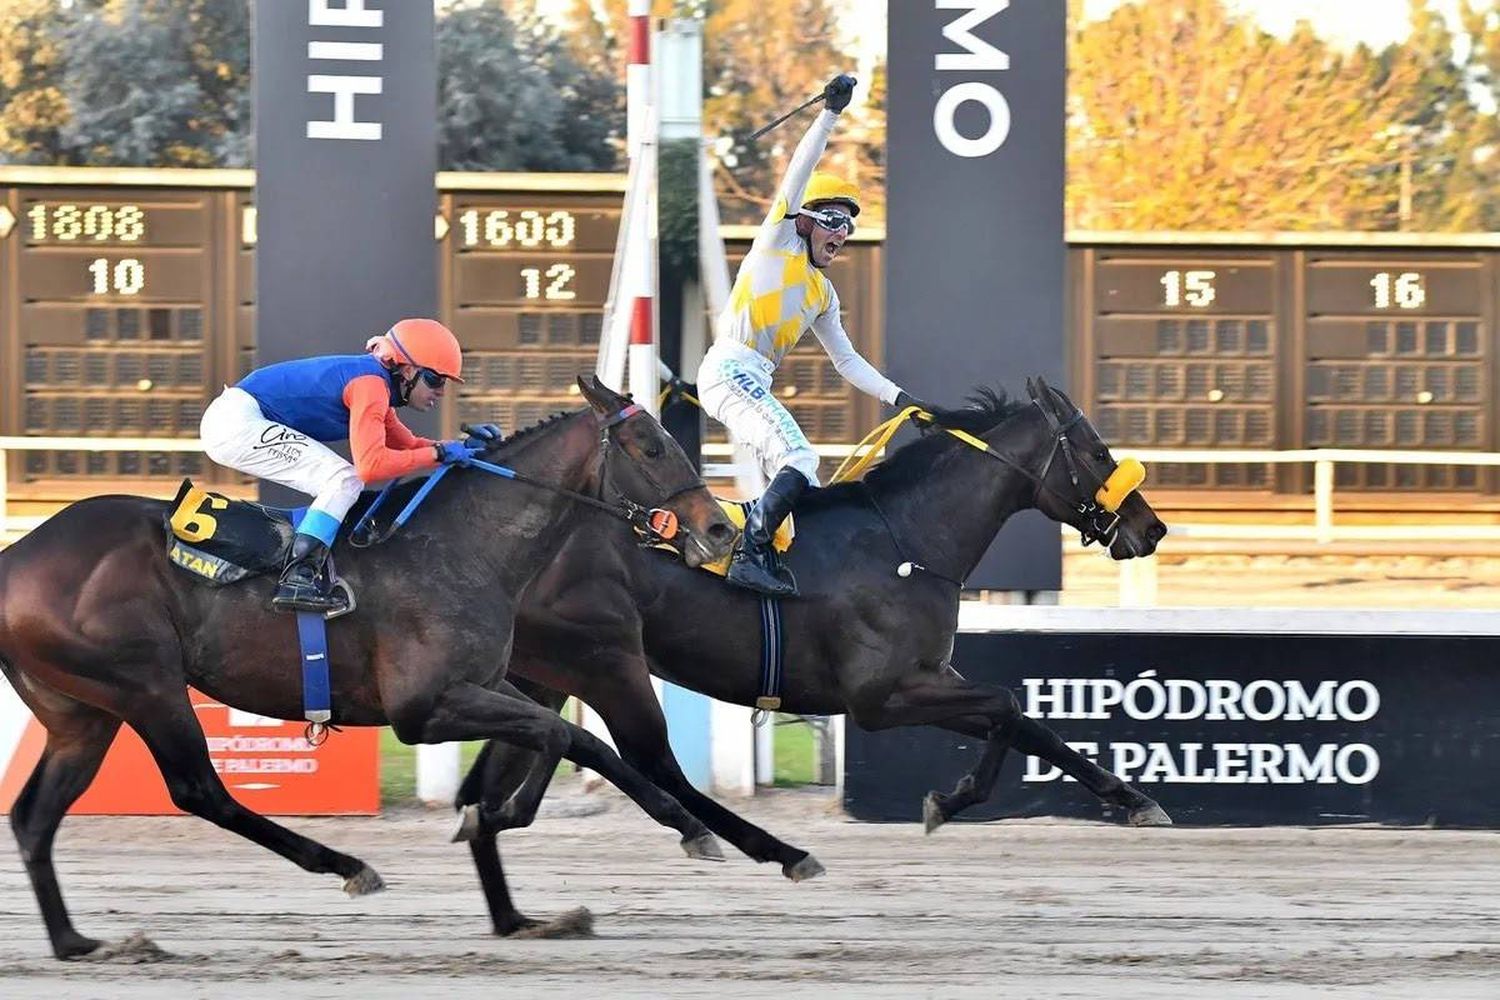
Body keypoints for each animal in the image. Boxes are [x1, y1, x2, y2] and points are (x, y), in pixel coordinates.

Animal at [0, 377, 738, 959]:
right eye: (651, 446)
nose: (721, 528)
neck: (461, 544)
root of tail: (19, 556)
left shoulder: (482, 683)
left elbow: (585, 740)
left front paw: (688, 825)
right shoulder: (425, 708)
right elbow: (561, 734)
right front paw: (495, 819)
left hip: (82, 712)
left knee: (35, 817)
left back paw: (75, 942)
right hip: (146, 685)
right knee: (199, 791)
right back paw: (345, 864)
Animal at [450, 379, 1176, 935]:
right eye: (1097, 450)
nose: (1152, 527)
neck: (907, 540)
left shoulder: (927, 679)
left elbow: (1028, 723)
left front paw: (1135, 800)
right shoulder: (883, 696)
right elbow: (1007, 703)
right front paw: (950, 800)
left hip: (544, 672)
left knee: (512, 769)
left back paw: (514, 904)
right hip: (607, 657)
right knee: (648, 762)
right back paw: (769, 849)